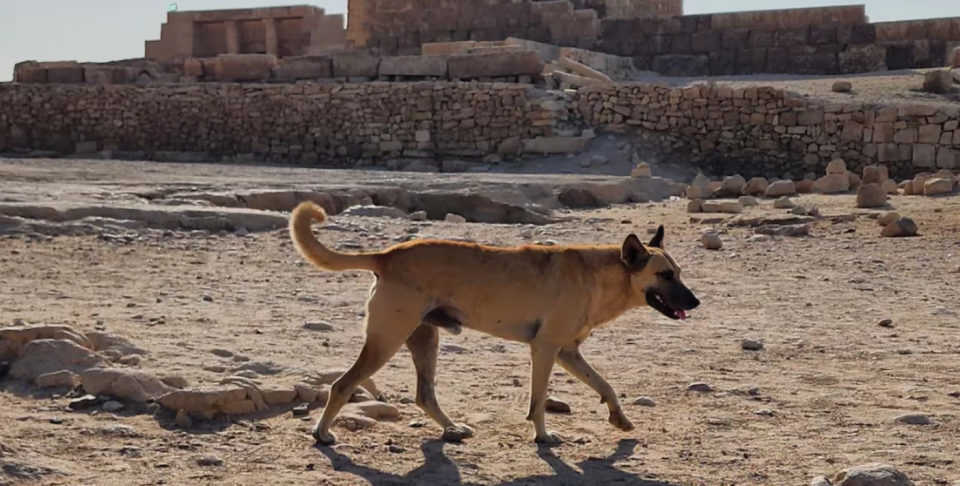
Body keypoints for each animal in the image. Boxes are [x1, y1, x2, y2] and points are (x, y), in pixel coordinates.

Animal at [288, 200, 700, 444]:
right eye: (665, 276)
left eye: (679, 273)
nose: (696, 303)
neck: (600, 274)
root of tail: (387, 255)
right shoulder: (546, 349)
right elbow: (538, 401)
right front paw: (543, 437)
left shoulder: (568, 352)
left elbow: (606, 385)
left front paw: (619, 418)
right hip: (387, 341)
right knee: (343, 384)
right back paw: (322, 433)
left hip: (424, 340)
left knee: (424, 394)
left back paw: (451, 428)